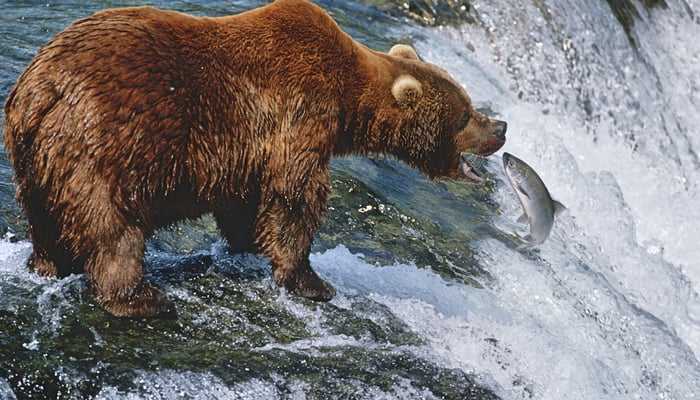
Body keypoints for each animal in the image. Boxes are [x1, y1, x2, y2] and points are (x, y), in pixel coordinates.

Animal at [2, 0, 506, 317]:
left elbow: (246, 203)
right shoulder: (300, 112)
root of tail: (39, 87)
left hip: (36, 156)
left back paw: (47, 266)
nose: (500, 127)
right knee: (112, 226)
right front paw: (312, 281)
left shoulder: (247, 150)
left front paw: (247, 245)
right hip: (107, 143)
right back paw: (141, 298)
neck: (347, 96)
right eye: (466, 114)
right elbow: (295, 196)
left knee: (46, 219)